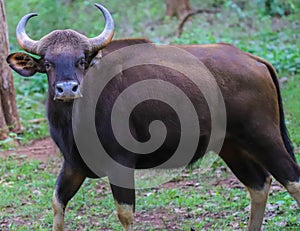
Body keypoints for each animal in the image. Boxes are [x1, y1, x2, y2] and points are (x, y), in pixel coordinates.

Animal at [6, 3, 300, 231]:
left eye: (81, 60)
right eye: (47, 63)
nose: (67, 88)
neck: (75, 122)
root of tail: (253, 60)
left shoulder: (121, 164)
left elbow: (125, 214)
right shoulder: (73, 164)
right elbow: (57, 203)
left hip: (264, 136)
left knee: (293, 181)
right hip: (232, 145)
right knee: (259, 184)